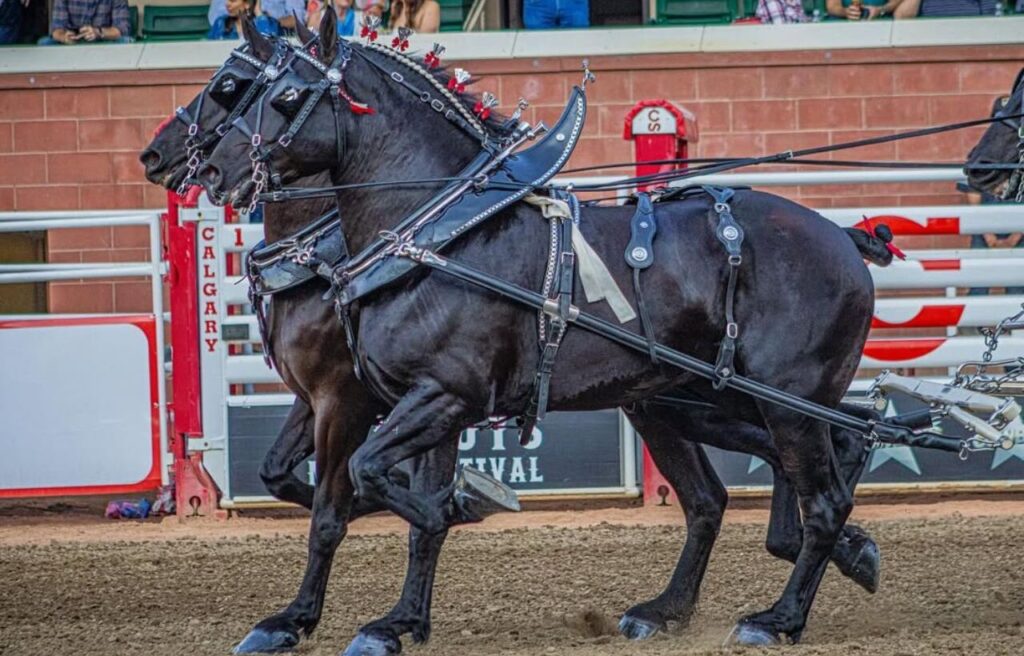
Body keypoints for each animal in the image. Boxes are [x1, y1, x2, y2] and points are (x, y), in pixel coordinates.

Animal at [196, 10, 889, 650]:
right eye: (241, 88)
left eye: (280, 95)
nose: (210, 170)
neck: (434, 235)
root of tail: (842, 237)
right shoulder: (418, 400)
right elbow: (397, 510)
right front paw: (398, 620)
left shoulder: (415, 397)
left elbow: (353, 495)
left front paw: (461, 507)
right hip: (693, 399)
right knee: (733, 489)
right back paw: (683, 603)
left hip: (786, 400)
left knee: (823, 498)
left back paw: (781, 617)